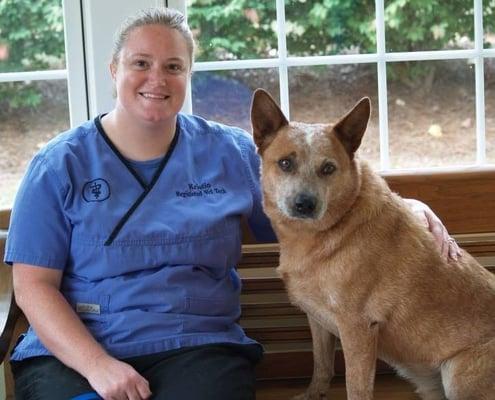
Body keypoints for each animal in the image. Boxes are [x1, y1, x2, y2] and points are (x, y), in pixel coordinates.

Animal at [250, 89, 495, 398]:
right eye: (285, 163)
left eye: (328, 168)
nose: (305, 204)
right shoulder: (317, 320)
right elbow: (321, 365)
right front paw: (313, 394)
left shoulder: (358, 328)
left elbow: (356, 387)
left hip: (458, 374)